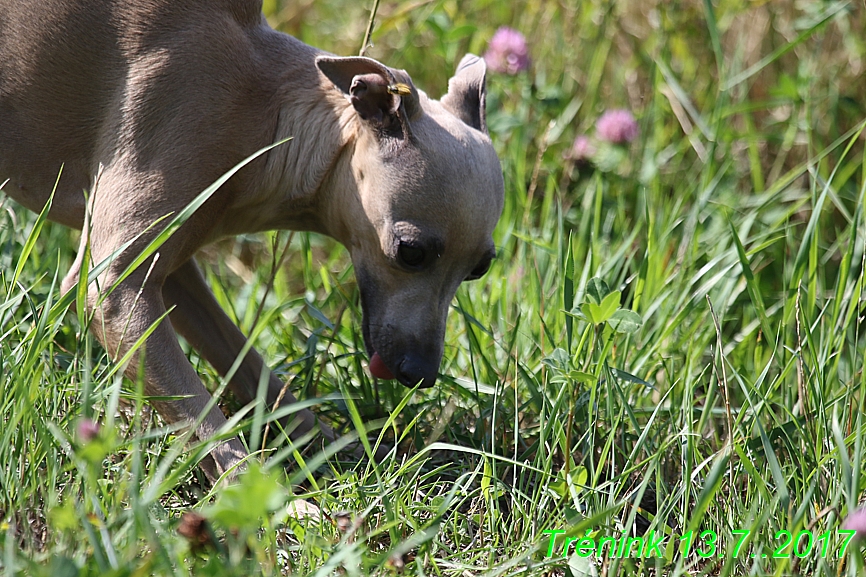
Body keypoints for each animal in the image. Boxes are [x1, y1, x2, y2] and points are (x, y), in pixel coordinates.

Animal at [0, 0, 502, 482]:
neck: (266, 111)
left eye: (480, 270)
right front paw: (265, 492)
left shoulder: (174, 268)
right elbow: (200, 414)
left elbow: (247, 364)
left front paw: (338, 449)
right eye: (411, 252)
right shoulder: (114, 289)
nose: (420, 374)